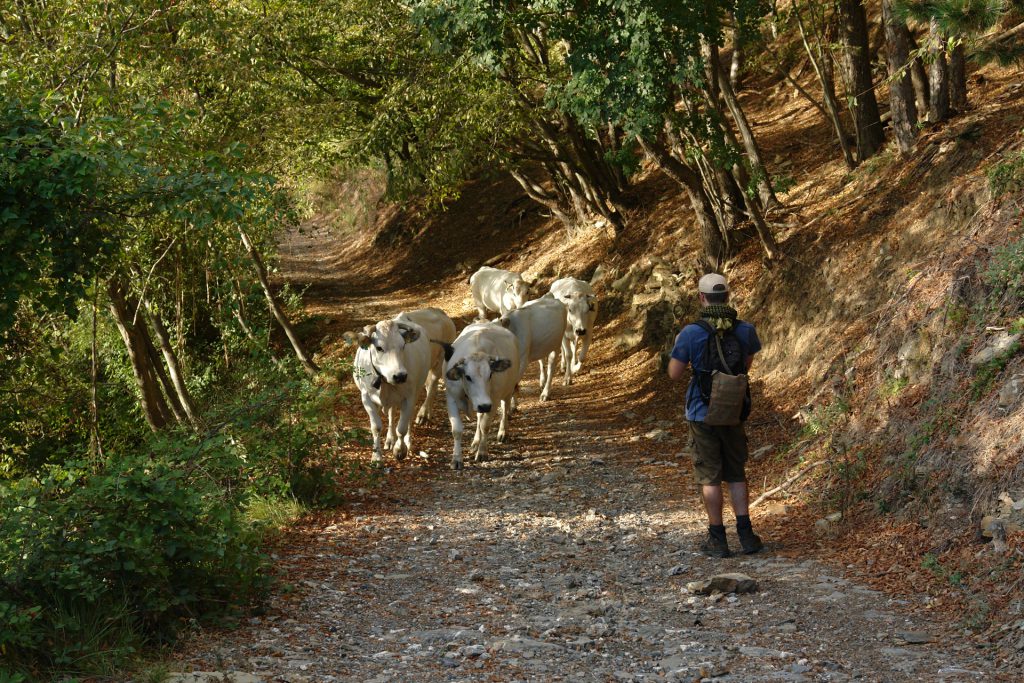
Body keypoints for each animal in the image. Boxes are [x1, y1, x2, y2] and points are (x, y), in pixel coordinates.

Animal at [354, 317, 430, 462]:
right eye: (379, 348)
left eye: (403, 346)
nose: (400, 376)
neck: (385, 381)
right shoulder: (366, 398)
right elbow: (376, 427)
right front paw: (377, 456)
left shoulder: (408, 397)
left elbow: (402, 428)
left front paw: (400, 450)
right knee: (391, 414)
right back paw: (390, 439)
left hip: (416, 390)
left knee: (407, 418)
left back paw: (407, 442)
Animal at [442, 321, 520, 471]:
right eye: (467, 376)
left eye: (490, 374)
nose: (484, 406)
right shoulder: (452, 399)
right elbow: (457, 430)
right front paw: (456, 459)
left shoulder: (493, 401)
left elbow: (485, 425)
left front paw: (482, 452)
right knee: (479, 417)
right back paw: (475, 442)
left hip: (508, 390)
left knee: (505, 408)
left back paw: (502, 431)